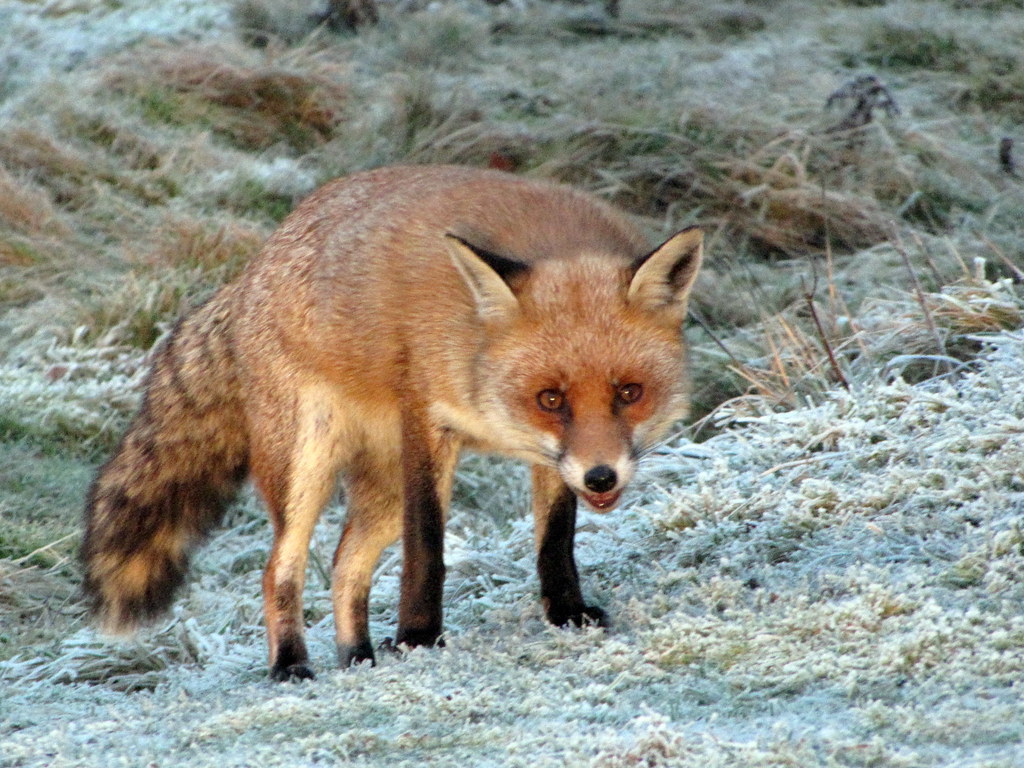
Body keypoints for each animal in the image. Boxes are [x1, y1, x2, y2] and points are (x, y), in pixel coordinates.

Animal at [81, 164, 703, 681]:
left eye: (629, 393)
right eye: (550, 398)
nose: (602, 477)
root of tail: (251, 271)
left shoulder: (546, 455)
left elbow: (555, 539)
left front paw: (567, 613)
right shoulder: (428, 422)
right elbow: (427, 547)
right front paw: (419, 638)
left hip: (380, 493)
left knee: (343, 566)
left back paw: (356, 656)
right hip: (306, 467)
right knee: (279, 568)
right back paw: (291, 664)